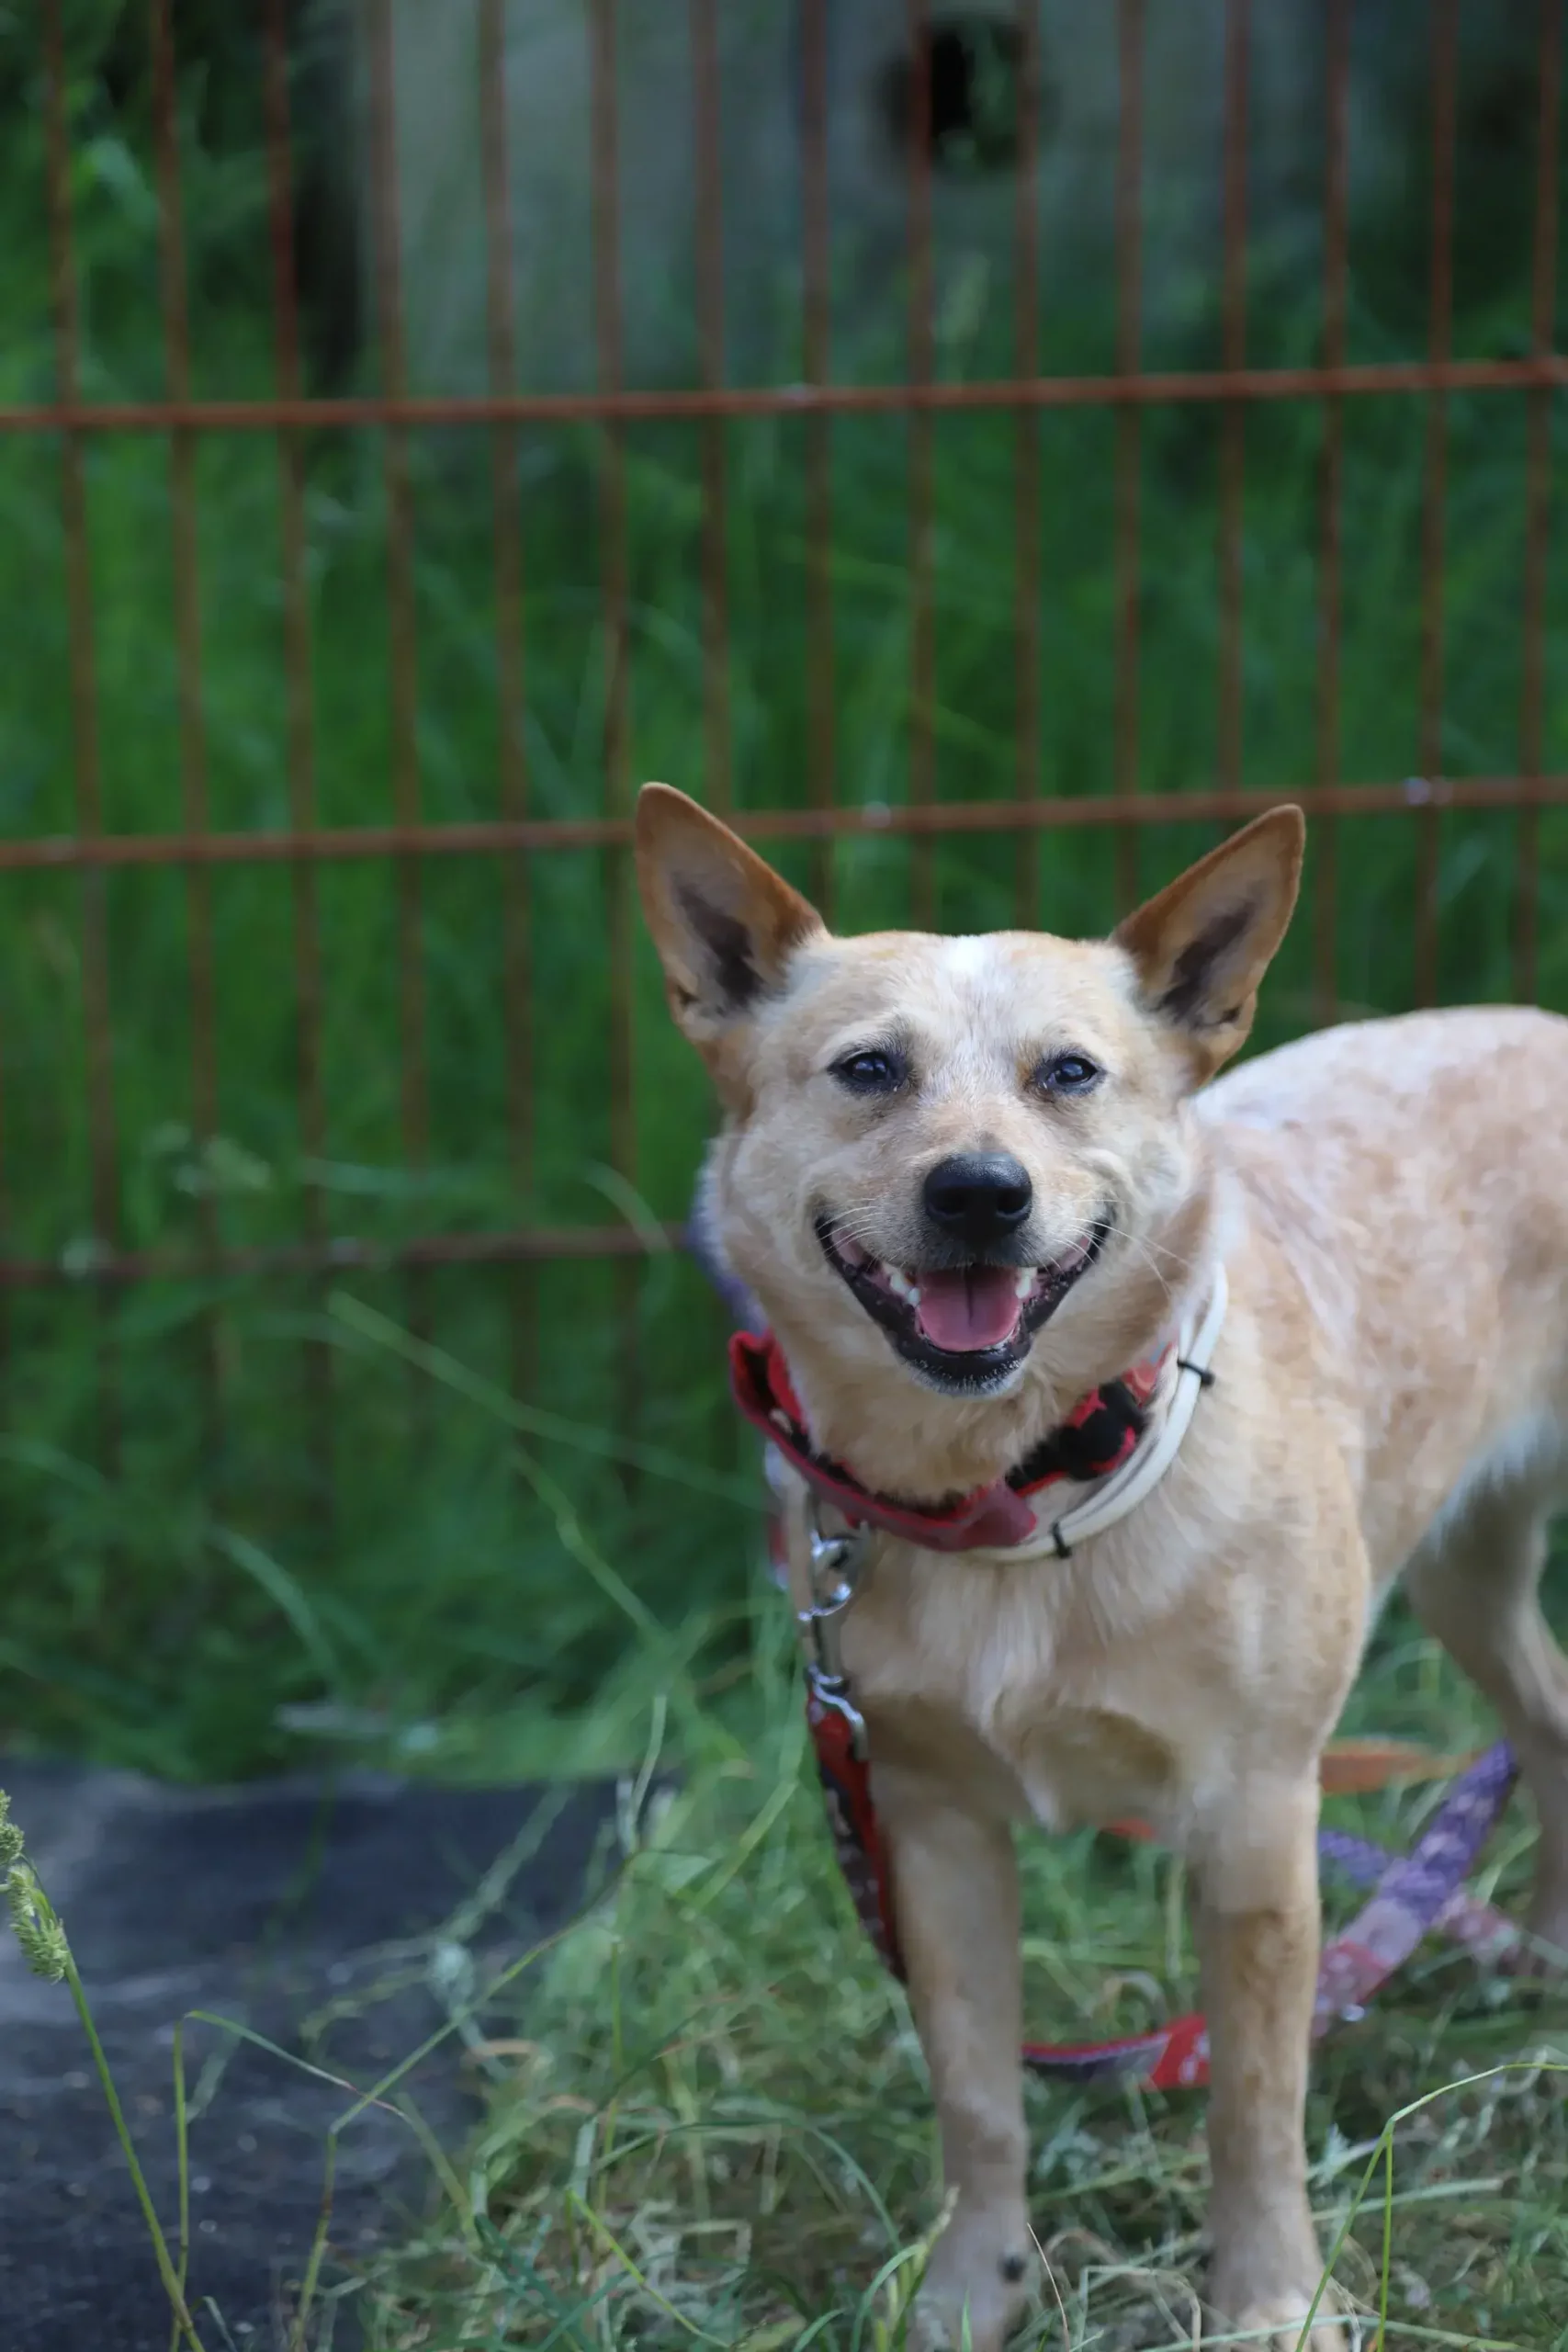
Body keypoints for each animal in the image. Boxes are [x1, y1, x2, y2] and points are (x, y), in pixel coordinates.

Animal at [634, 781, 1568, 2348]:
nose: (978, 1192)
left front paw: (1269, 2306)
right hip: (1462, 1572)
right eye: (868, 1069)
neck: (1014, 1496)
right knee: (1550, 1724)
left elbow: (1250, 2107)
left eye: (1067, 1072)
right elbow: (976, 2099)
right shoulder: (928, 1822)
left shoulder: (1255, 1819)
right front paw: (972, 2293)